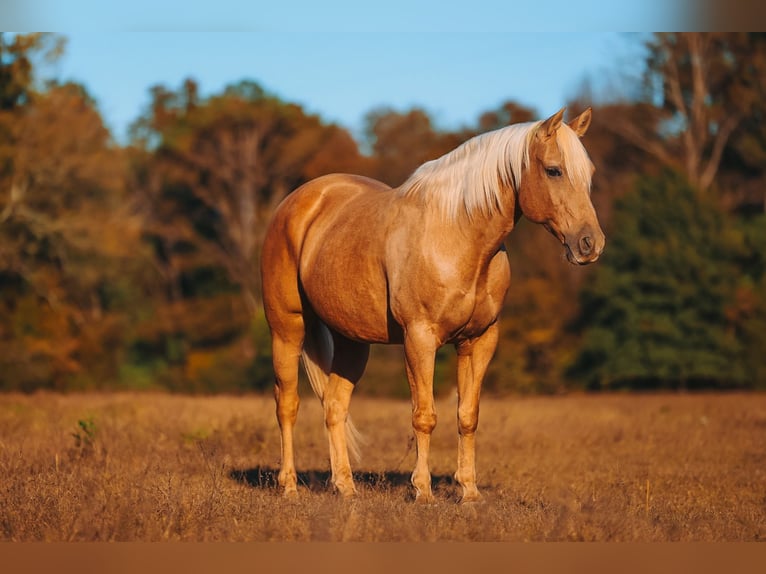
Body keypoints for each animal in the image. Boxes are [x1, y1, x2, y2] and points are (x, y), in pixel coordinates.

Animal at [260, 107, 605, 504]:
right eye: (553, 170)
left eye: (590, 172)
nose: (590, 244)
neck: (457, 234)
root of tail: (298, 202)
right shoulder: (420, 339)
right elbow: (424, 415)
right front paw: (422, 491)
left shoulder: (479, 341)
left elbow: (467, 415)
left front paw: (469, 491)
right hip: (287, 329)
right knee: (287, 404)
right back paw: (289, 486)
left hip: (352, 342)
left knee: (334, 407)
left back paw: (345, 487)